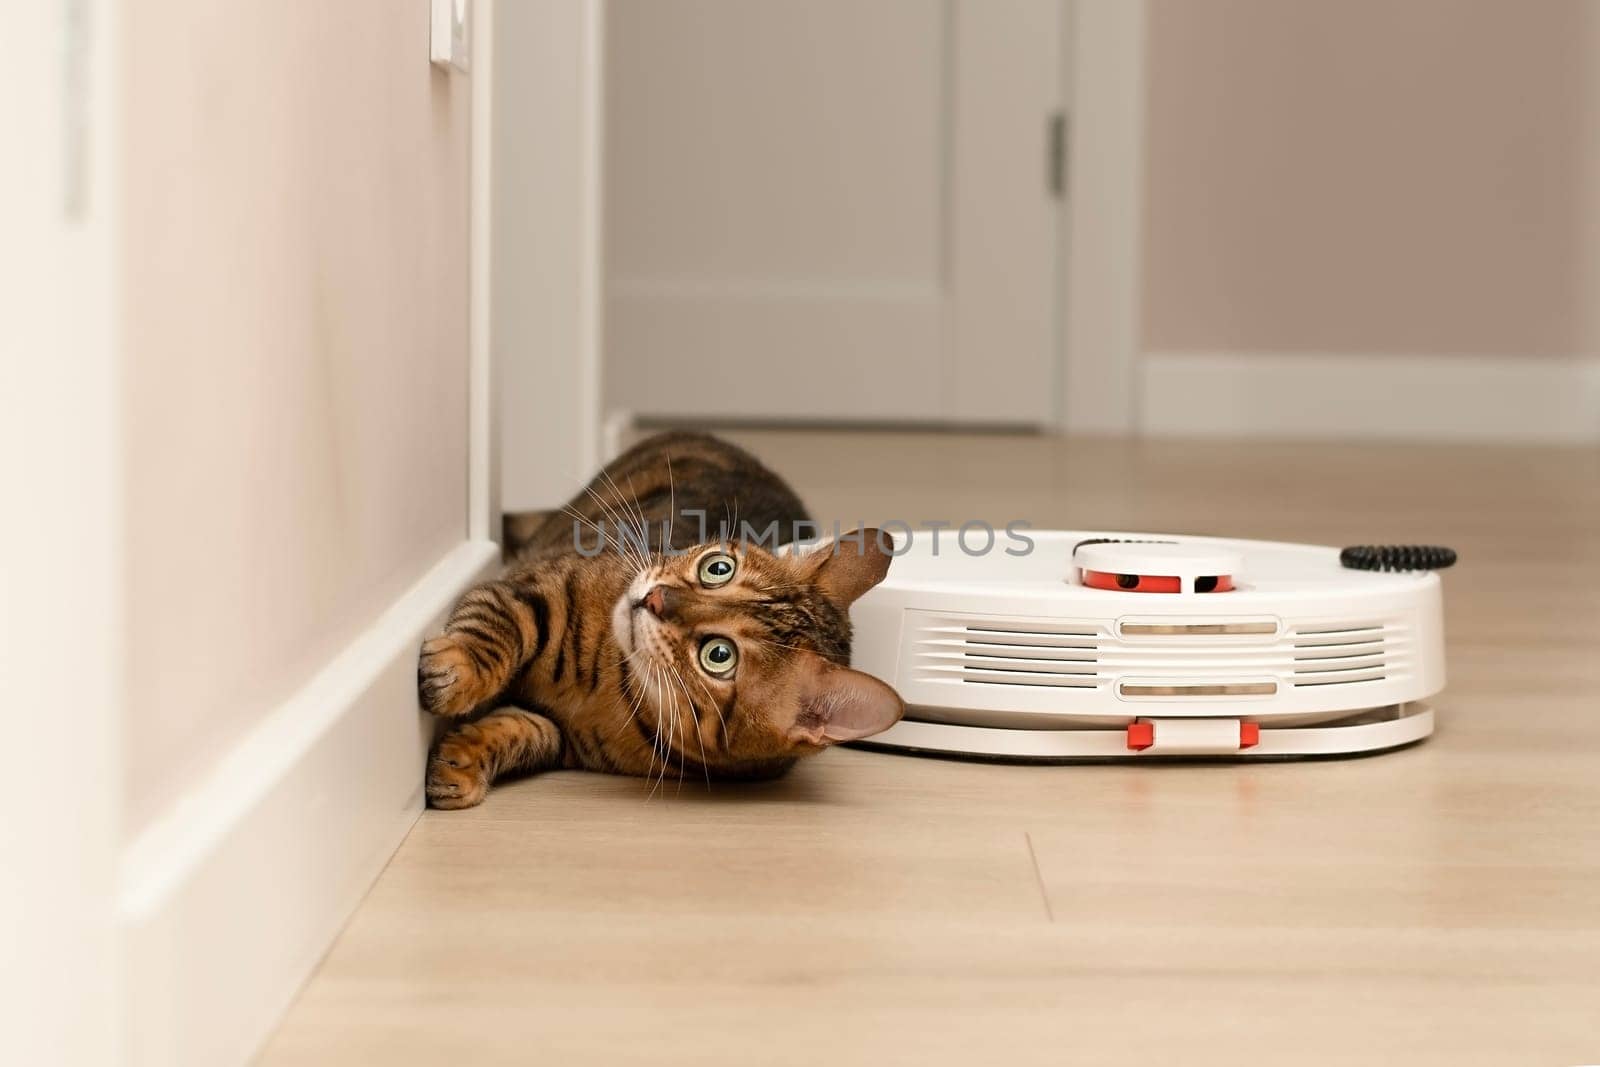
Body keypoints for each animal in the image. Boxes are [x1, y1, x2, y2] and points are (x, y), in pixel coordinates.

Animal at [419, 428, 908, 806]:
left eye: (719, 655)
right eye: (717, 569)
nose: (655, 598)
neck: (611, 684)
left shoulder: (564, 737)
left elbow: (520, 730)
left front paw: (461, 760)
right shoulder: (537, 586)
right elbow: (497, 629)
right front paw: (458, 672)